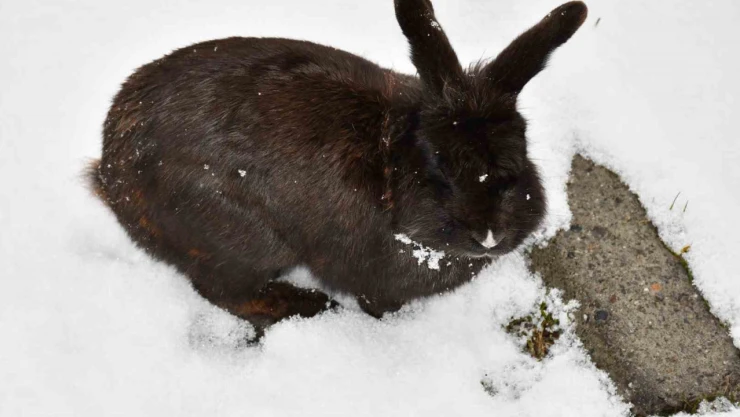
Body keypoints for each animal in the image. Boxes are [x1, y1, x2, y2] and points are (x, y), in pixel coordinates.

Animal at [88, 0, 588, 338]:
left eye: (520, 155)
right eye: (440, 167)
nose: (487, 236)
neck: (388, 164)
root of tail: (112, 172)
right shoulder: (377, 282)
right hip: (246, 241)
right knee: (225, 291)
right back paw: (310, 307)